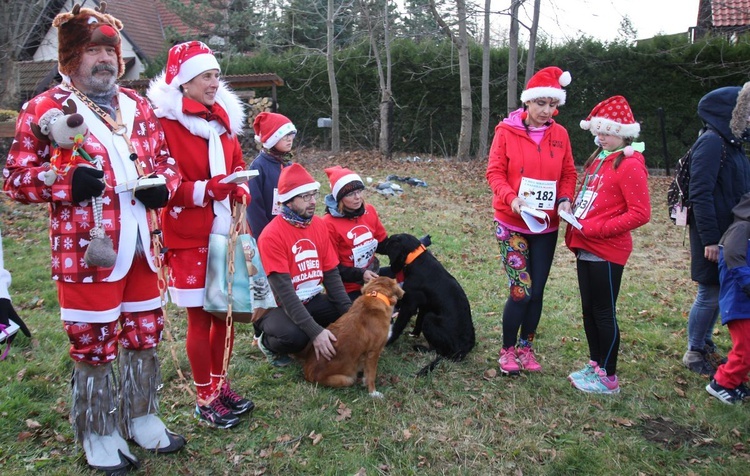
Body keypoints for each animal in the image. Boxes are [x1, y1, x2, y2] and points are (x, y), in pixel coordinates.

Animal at [388, 233, 476, 376]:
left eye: (388, 243)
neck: (416, 259)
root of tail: (462, 350)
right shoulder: (424, 306)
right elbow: (418, 321)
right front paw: (414, 334)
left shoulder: (409, 304)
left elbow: (399, 325)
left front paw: (389, 340)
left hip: (430, 319)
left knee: (438, 351)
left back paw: (420, 348)